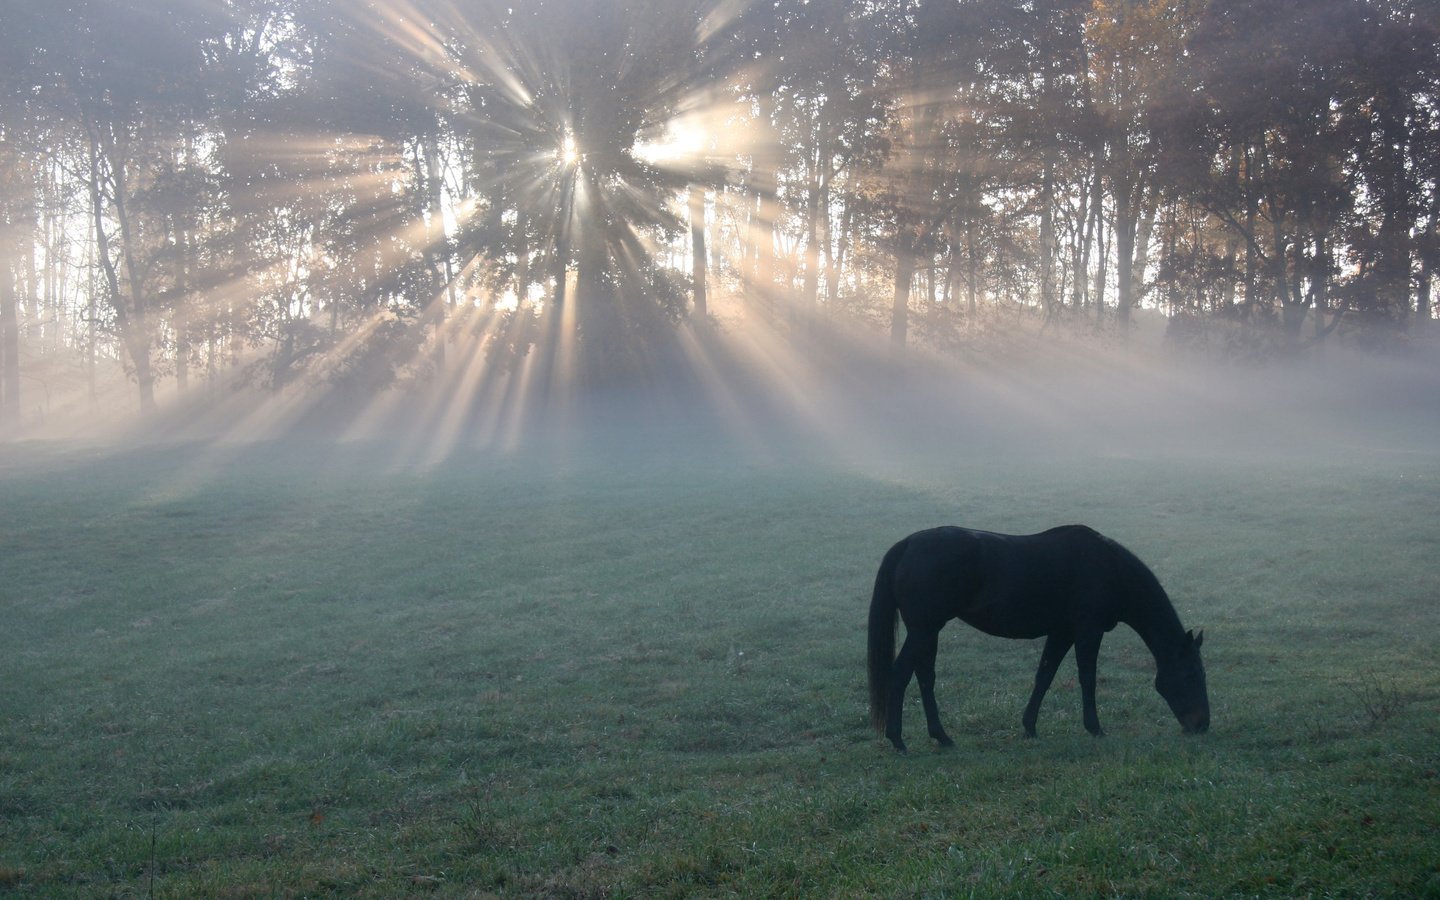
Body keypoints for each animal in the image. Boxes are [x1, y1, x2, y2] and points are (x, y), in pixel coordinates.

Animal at [869, 527, 1209, 748]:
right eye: (1193, 674)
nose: (1202, 725)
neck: (1109, 568)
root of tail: (909, 543)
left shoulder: (1061, 633)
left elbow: (1044, 676)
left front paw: (1029, 726)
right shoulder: (1088, 631)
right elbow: (1087, 678)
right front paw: (1095, 728)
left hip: (927, 632)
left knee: (925, 677)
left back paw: (941, 736)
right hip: (923, 630)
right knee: (900, 675)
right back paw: (897, 739)